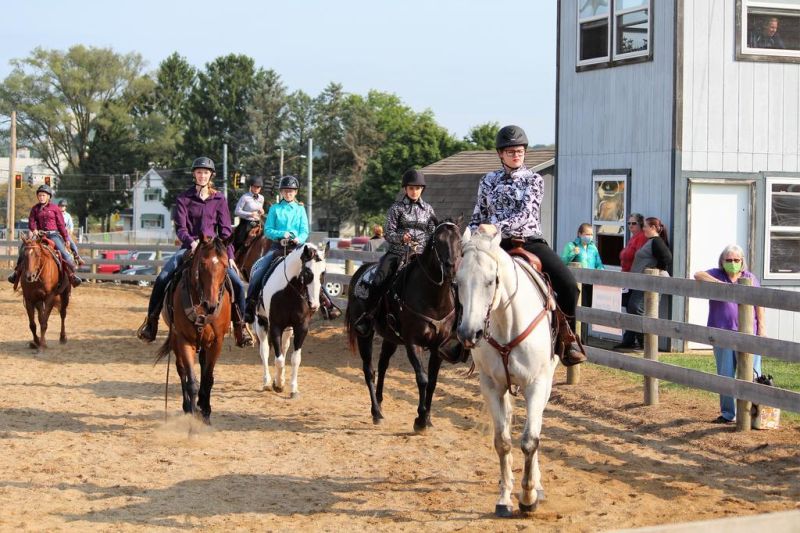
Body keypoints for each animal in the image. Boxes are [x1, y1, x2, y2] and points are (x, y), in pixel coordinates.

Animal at [156, 235, 231, 422]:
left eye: (225, 265)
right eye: (202, 265)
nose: (210, 305)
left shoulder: (217, 341)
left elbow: (208, 379)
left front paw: (206, 411)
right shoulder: (184, 339)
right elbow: (191, 381)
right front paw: (192, 413)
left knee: (203, 366)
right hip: (175, 338)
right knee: (181, 369)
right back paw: (188, 406)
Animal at [250, 243, 324, 396]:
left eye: (323, 273)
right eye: (307, 272)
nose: (314, 305)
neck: (288, 292)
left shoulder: (301, 327)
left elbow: (295, 359)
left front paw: (293, 388)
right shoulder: (275, 326)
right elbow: (278, 360)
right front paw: (278, 385)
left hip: (288, 330)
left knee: (283, 348)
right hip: (261, 323)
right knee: (264, 351)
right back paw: (267, 382)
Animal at [454, 224, 560, 516]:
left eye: (491, 280)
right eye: (458, 282)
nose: (469, 333)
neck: (506, 323)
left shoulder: (536, 384)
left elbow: (530, 440)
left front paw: (528, 497)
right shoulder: (492, 386)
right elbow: (502, 441)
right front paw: (504, 498)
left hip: (546, 382)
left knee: (537, 427)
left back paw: (537, 485)